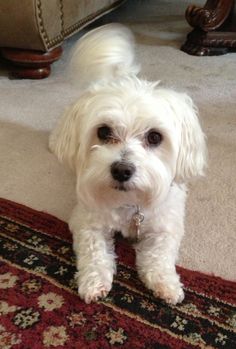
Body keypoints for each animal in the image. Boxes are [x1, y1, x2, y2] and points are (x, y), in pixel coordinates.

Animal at [48, 23, 206, 304]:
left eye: (155, 137)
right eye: (103, 131)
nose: (122, 170)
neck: (130, 203)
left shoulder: (167, 226)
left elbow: (160, 255)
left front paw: (166, 283)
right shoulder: (87, 221)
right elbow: (94, 252)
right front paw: (94, 281)